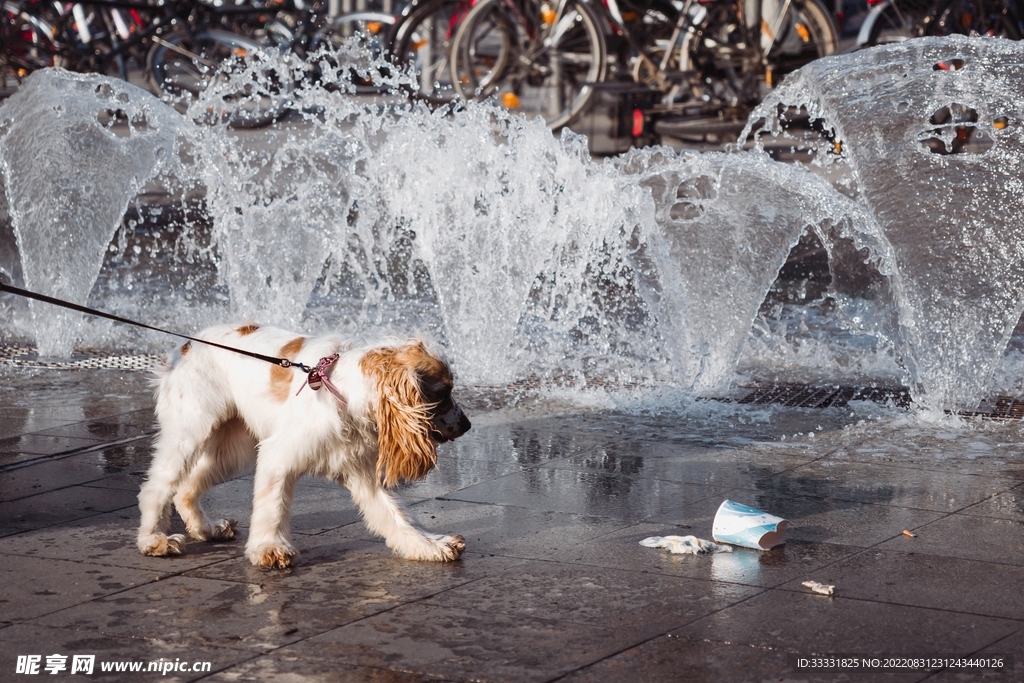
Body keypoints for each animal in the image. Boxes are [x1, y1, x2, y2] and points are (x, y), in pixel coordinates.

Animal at [137, 323, 471, 569]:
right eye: (442, 393)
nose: (468, 425)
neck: (343, 392)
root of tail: (184, 347)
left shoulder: (361, 471)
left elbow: (395, 516)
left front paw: (429, 546)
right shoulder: (277, 456)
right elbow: (272, 507)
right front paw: (270, 548)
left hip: (233, 448)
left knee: (186, 488)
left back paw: (206, 529)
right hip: (189, 433)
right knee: (157, 486)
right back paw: (154, 540)